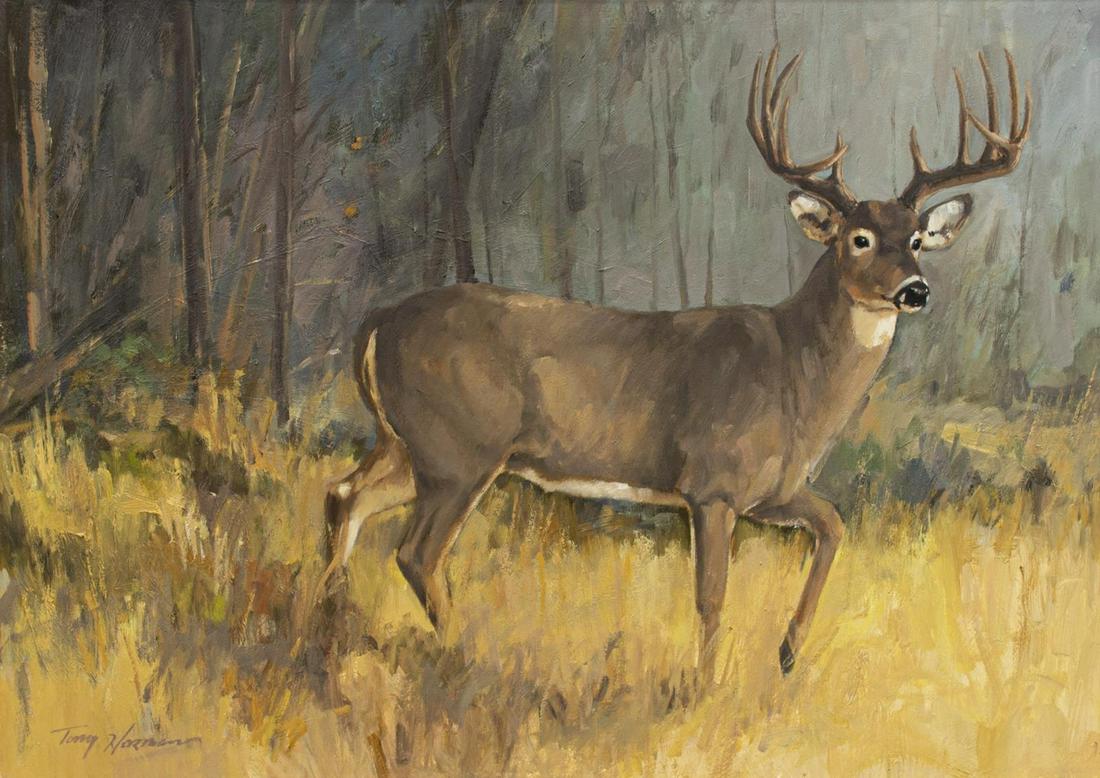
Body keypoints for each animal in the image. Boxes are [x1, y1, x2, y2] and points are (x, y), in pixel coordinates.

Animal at [317, 46, 1031, 684]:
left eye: (917, 240)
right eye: (859, 238)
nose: (915, 290)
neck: (795, 380)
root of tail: (376, 324)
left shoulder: (772, 490)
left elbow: (833, 525)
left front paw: (787, 652)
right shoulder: (712, 482)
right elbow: (711, 596)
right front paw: (702, 689)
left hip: (409, 444)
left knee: (343, 496)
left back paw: (331, 621)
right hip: (461, 449)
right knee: (415, 552)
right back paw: (461, 651)